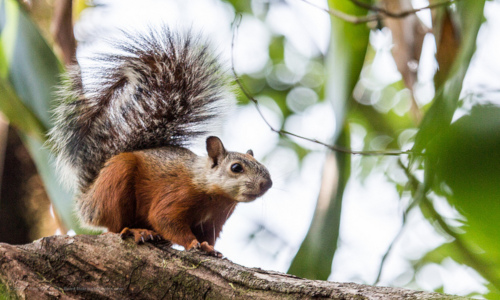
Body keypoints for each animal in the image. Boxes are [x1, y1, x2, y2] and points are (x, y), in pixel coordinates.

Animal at [47, 27, 272, 256]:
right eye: (236, 167)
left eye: (264, 166)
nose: (267, 184)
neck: (211, 193)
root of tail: (88, 198)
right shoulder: (174, 196)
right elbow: (165, 220)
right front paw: (192, 243)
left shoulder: (213, 221)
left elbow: (208, 237)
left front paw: (208, 247)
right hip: (115, 182)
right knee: (115, 227)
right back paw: (137, 231)